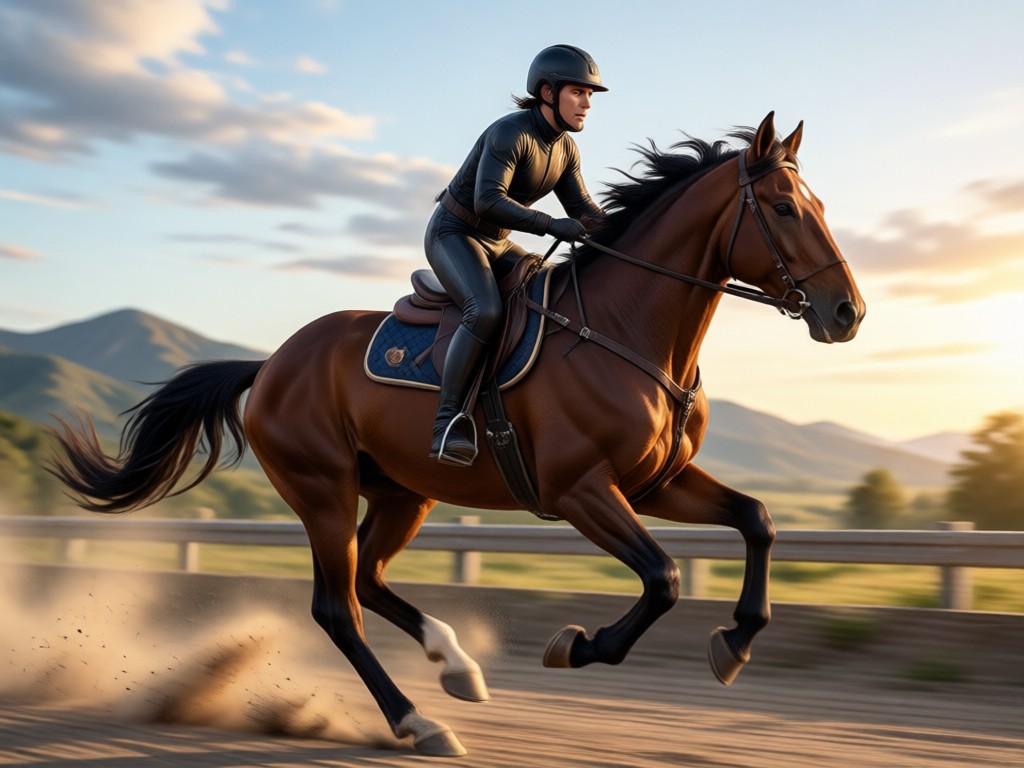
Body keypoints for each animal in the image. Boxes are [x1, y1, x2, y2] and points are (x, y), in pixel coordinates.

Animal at [48, 112, 865, 757]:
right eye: (785, 208)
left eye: (819, 202)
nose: (847, 312)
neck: (626, 330)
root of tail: (272, 362)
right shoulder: (581, 491)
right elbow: (662, 577)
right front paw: (577, 646)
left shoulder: (655, 483)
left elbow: (756, 521)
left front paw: (735, 642)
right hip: (323, 491)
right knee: (337, 608)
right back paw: (419, 722)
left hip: (403, 493)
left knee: (369, 582)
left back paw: (456, 665)